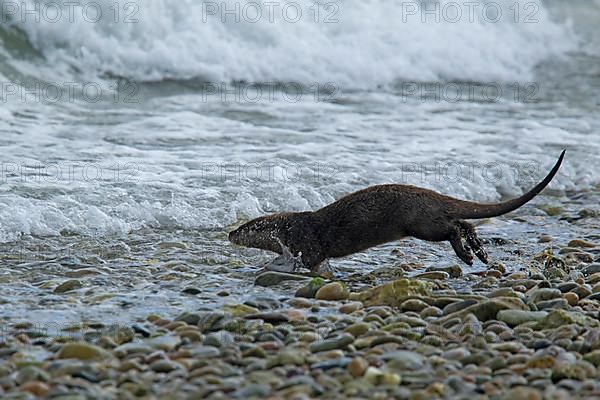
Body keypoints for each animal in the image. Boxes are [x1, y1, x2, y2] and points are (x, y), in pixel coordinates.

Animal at [227, 152, 564, 274]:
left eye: (246, 228)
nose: (229, 233)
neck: (293, 227)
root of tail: (430, 194)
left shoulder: (306, 244)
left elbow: (310, 261)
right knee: (463, 222)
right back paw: (477, 252)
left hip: (421, 223)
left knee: (451, 227)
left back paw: (467, 255)